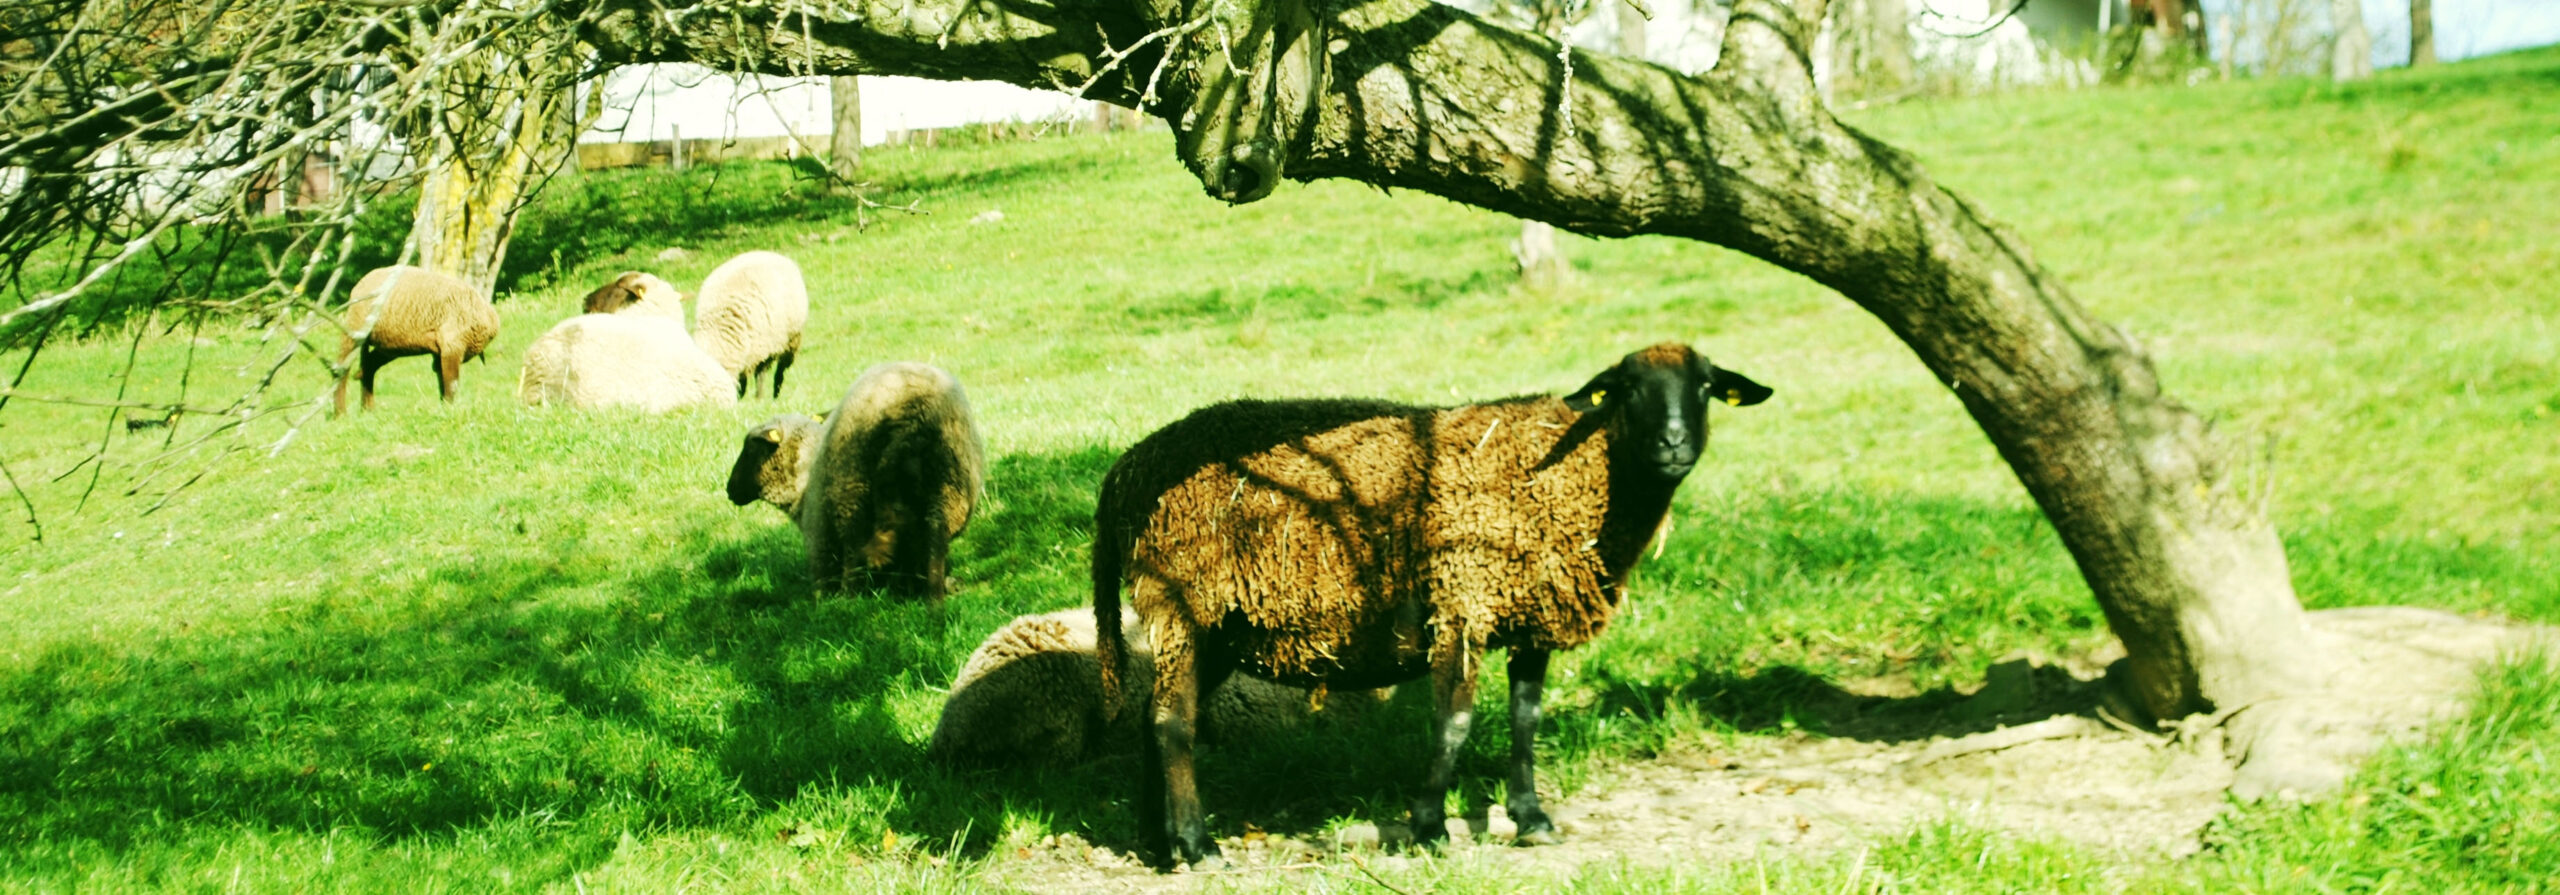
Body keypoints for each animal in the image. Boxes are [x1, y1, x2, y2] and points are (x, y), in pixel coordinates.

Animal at [331, 265, 500, 415]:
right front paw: (448, 409)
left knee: (368, 365)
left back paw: (367, 409)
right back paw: (340, 413)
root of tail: (360, 284)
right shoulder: (452, 346)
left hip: (390, 344)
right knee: (342, 368)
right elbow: (451, 383)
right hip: (355, 329)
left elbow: (442, 381)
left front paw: (443, 407)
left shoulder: (440, 351)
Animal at [691, 250, 809, 399]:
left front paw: (757, 399)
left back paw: (775, 396)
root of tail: (769, 253)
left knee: (779, 371)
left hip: (790, 340)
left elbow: (758, 377)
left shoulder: (761, 350)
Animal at [725, 361, 986, 598]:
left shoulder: (819, 535)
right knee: (932, 542)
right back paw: (934, 589)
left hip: (852, 497)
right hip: (950, 488)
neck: (802, 479)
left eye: (750, 450)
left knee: (855, 557)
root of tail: (916, 411)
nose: (729, 490)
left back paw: (851, 599)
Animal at [1092, 342, 1771, 868]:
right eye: (1628, 389)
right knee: (1172, 721)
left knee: (1157, 717)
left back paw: (1158, 841)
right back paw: (1198, 845)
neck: (1574, 471)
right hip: (1182, 601)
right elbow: (1454, 722)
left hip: (1220, 628)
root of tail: (1126, 469)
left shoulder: (1530, 617)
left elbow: (1526, 719)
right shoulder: (1463, 600)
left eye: (1705, 387)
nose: (1674, 444)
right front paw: (1429, 827)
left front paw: (1531, 819)